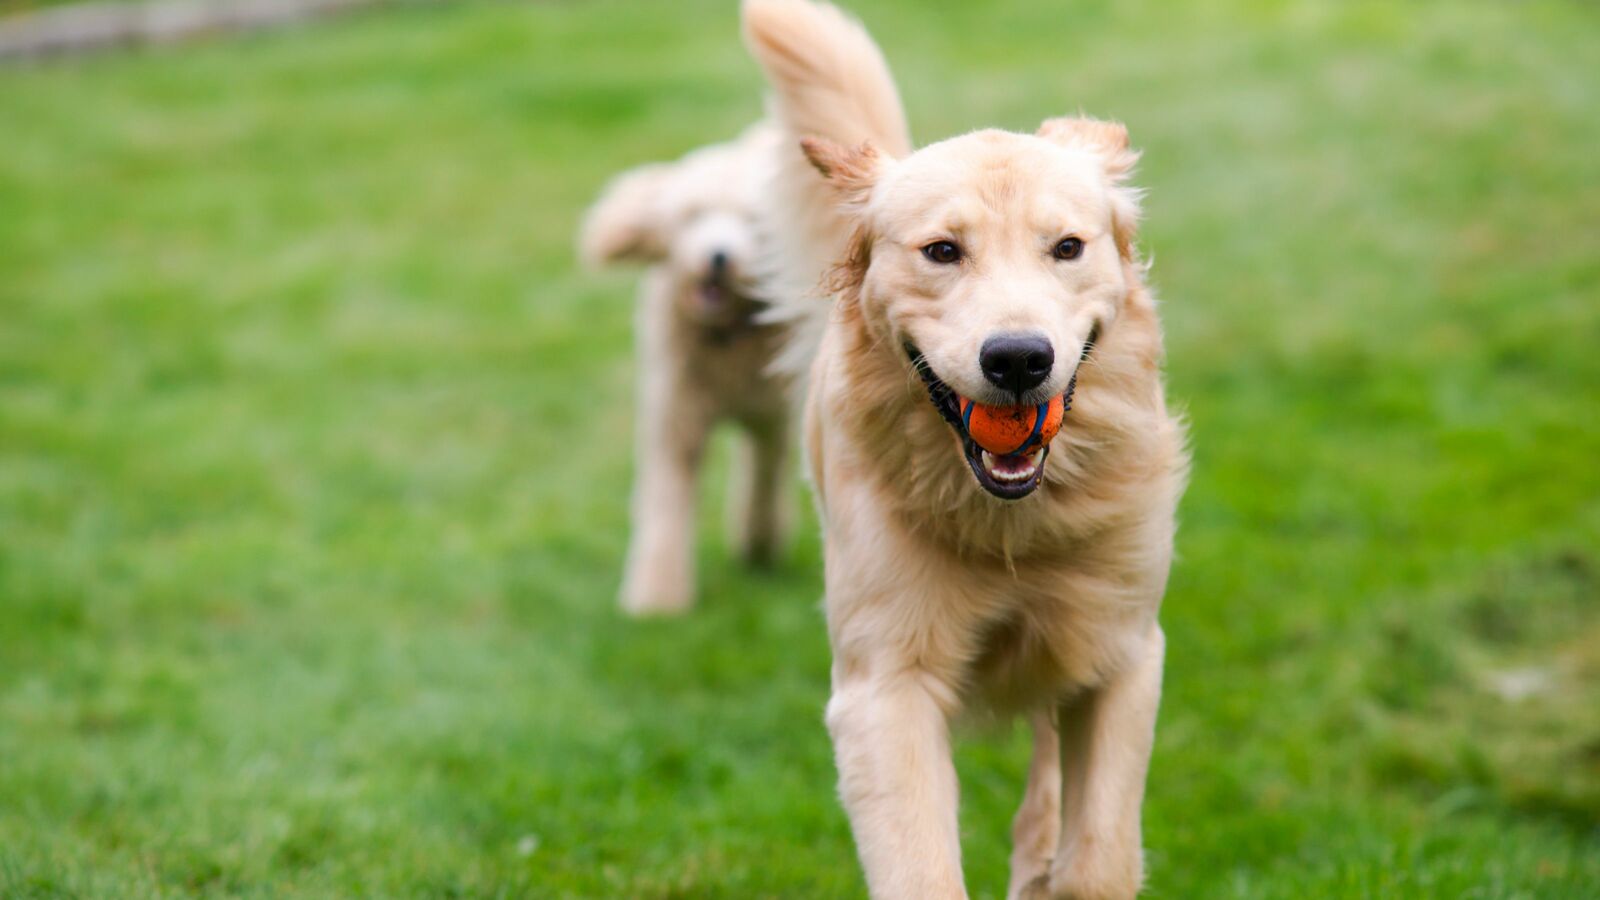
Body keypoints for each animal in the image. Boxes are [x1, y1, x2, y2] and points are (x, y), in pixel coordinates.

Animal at [582, 126, 793, 611]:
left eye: (751, 222)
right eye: (694, 215)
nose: (719, 257)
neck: (726, 336)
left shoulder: (771, 415)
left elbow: (765, 477)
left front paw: (759, 543)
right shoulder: (674, 416)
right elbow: (666, 501)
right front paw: (657, 599)